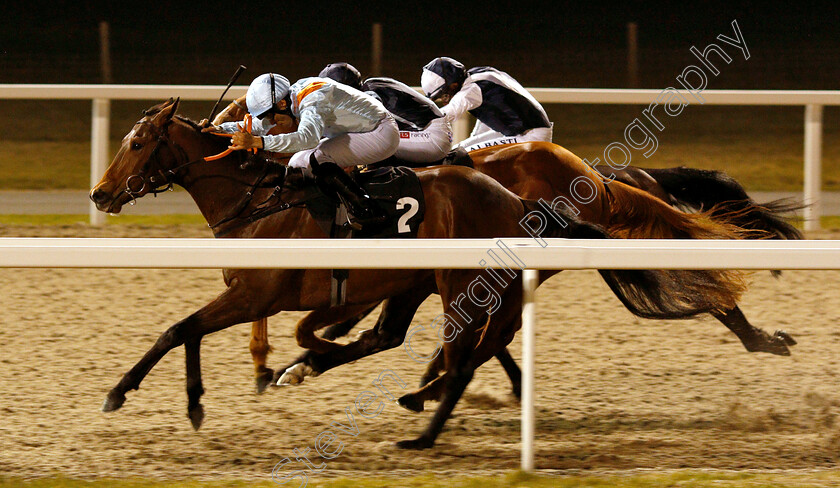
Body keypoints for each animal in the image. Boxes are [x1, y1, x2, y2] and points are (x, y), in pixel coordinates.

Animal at [92, 98, 748, 450]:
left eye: (137, 143)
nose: (99, 194)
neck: (259, 200)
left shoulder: (258, 295)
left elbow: (179, 329)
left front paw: (126, 392)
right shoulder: (261, 295)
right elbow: (188, 331)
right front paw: (211, 394)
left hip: (460, 280)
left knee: (474, 340)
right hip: (429, 281)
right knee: (427, 338)